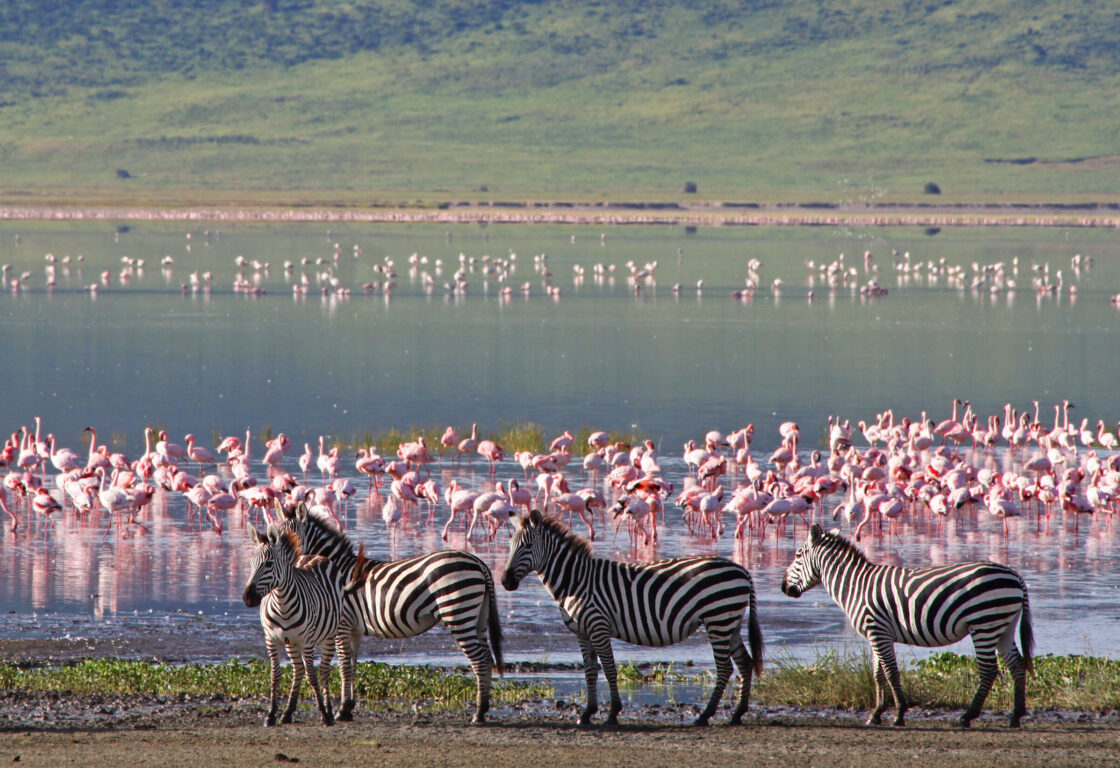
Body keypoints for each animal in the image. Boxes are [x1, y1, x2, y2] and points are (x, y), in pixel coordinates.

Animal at [242, 522, 341, 727]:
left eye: (268, 564)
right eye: (251, 563)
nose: (248, 598)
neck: (282, 604)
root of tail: (312, 555)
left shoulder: (306, 641)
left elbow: (312, 675)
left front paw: (323, 714)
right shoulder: (272, 639)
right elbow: (275, 675)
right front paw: (271, 714)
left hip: (329, 635)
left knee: (323, 670)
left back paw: (328, 710)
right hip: (290, 642)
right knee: (298, 670)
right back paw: (287, 712)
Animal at [276, 502, 504, 724]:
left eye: (289, 538)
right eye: (274, 537)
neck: (334, 571)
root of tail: (479, 563)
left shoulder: (342, 625)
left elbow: (343, 666)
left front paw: (341, 710)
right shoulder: (353, 629)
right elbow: (352, 664)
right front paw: (348, 707)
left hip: (458, 612)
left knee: (479, 660)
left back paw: (478, 714)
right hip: (478, 617)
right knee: (487, 658)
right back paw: (483, 709)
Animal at [501, 509, 763, 727]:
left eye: (527, 546)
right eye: (510, 545)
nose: (505, 581)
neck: (575, 582)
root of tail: (742, 570)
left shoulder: (598, 626)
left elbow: (608, 669)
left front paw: (612, 713)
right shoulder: (582, 632)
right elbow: (590, 671)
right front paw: (587, 713)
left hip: (717, 619)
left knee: (725, 668)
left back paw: (705, 715)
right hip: (730, 622)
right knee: (744, 662)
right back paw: (737, 714)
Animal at [780, 524, 1034, 728]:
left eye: (797, 554)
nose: (783, 587)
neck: (856, 585)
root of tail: (1015, 575)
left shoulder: (878, 631)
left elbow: (891, 672)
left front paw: (899, 714)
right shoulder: (875, 634)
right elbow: (877, 674)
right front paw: (876, 713)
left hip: (984, 623)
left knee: (989, 670)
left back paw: (967, 717)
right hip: (1003, 626)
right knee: (1016, 665)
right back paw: (1015, 716)